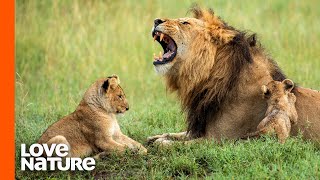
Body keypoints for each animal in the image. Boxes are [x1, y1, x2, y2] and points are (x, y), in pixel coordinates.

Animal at [148, 5, 320, 143]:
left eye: (185, 23)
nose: (156, 20)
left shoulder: (217, 140)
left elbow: (173, 145)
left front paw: (161, 142)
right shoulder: (199, 130)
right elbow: (175, 134)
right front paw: (155, 137)